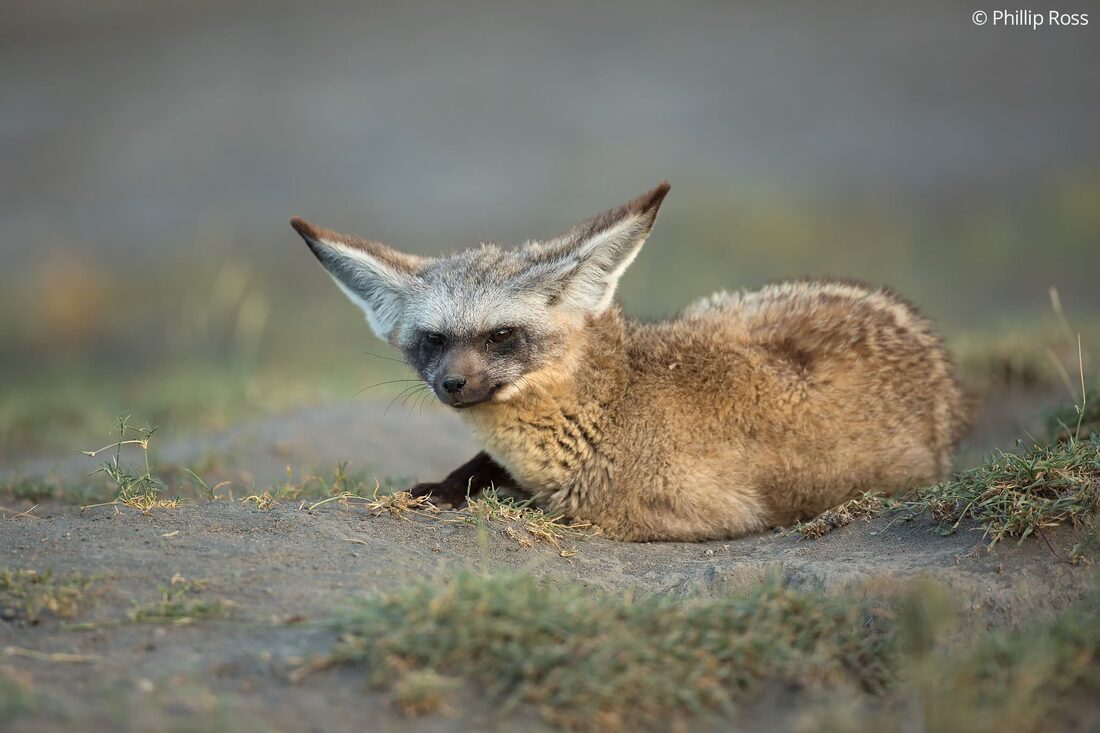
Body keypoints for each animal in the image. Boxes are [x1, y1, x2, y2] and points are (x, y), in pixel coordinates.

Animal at [290, 182, 969, 541]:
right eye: (432, 341)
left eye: (502, 336)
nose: (452, 384)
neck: (609, 405)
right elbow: (476, 472)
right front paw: (445, 485)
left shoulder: (693, 514)